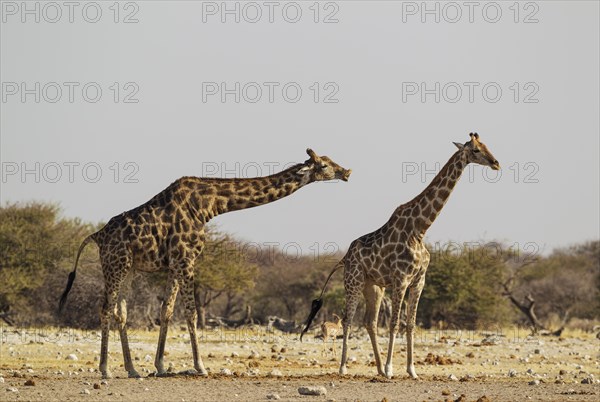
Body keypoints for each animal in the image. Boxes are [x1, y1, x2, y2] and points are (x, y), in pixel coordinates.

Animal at [58, 149, 350, 378]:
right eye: (323, 165)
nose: (346, 171)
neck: (208, 206)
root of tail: (97, 236)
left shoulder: (174, 263)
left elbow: (166, 310)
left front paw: (160, 366)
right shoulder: (186, 258)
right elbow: (192, 312)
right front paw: (200, 366)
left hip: (128, 267)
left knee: (121, 312)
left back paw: (132, 369)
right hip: (114, 264)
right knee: (105, 308)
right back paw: (105, 369)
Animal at [300, 134, 502, 380]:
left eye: (486, 145)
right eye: (475, 150)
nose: (496, 163)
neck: (420, 228)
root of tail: (345, 257)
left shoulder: (419, 281)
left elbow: (411, 324)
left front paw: (412, 370)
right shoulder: (401, 279)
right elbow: (395, 323)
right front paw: (390, 369)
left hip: (374, 286)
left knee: (370, 322)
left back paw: (377, 368)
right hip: (354, 281)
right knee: (348, 319)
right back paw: (344, 367)